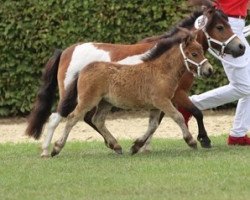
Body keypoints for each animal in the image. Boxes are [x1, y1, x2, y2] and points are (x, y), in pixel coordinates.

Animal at [26, 0, 245, 158]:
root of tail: (67, 50)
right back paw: (48, 150)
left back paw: (113, 144)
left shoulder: (162, 99)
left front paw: (141, 145)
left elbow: (157, 122)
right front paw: (202, 139)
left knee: (90, 119)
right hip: (74, 97)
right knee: (59, 118)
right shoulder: (176, 95)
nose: (241, 47)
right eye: (220, 27)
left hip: (100, 100)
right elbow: (193, 113)